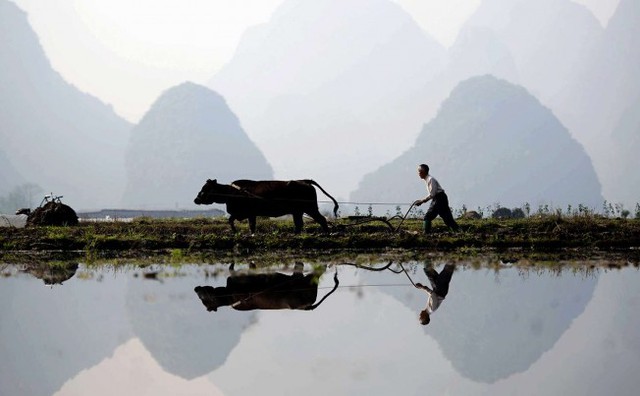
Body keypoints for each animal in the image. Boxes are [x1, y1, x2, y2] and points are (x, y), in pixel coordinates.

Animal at [191, 179, 338, 234]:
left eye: (205, 188)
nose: (196, 199)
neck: (231, 193)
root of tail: (304, 181)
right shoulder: (244, 213)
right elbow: (231, 220)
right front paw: (235, 231)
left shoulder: (248, 213)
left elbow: (249, 225)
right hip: (298, 211)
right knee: (299, 224)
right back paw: (295, 234)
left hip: (310, 208)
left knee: (321, 219)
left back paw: (327, 233)